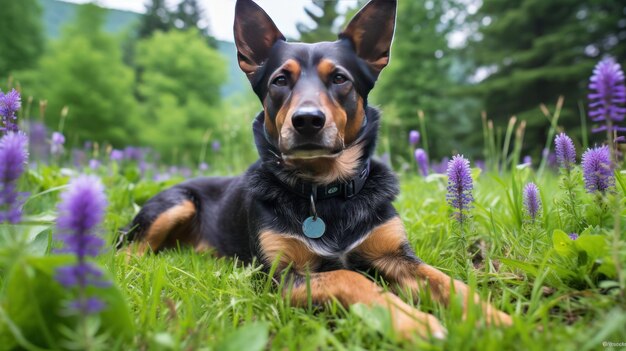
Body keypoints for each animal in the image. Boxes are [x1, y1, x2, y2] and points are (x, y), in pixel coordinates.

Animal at [122, 0, 512, 340]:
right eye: (280, 80)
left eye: (339, 78)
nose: (307, 120)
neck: (325, 191)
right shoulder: (280, 277)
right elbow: (352, 279)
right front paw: (413, 322)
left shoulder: (396, 255)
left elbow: (451, 284)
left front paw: (496, 319)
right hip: (176, 204)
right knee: (126, 250)